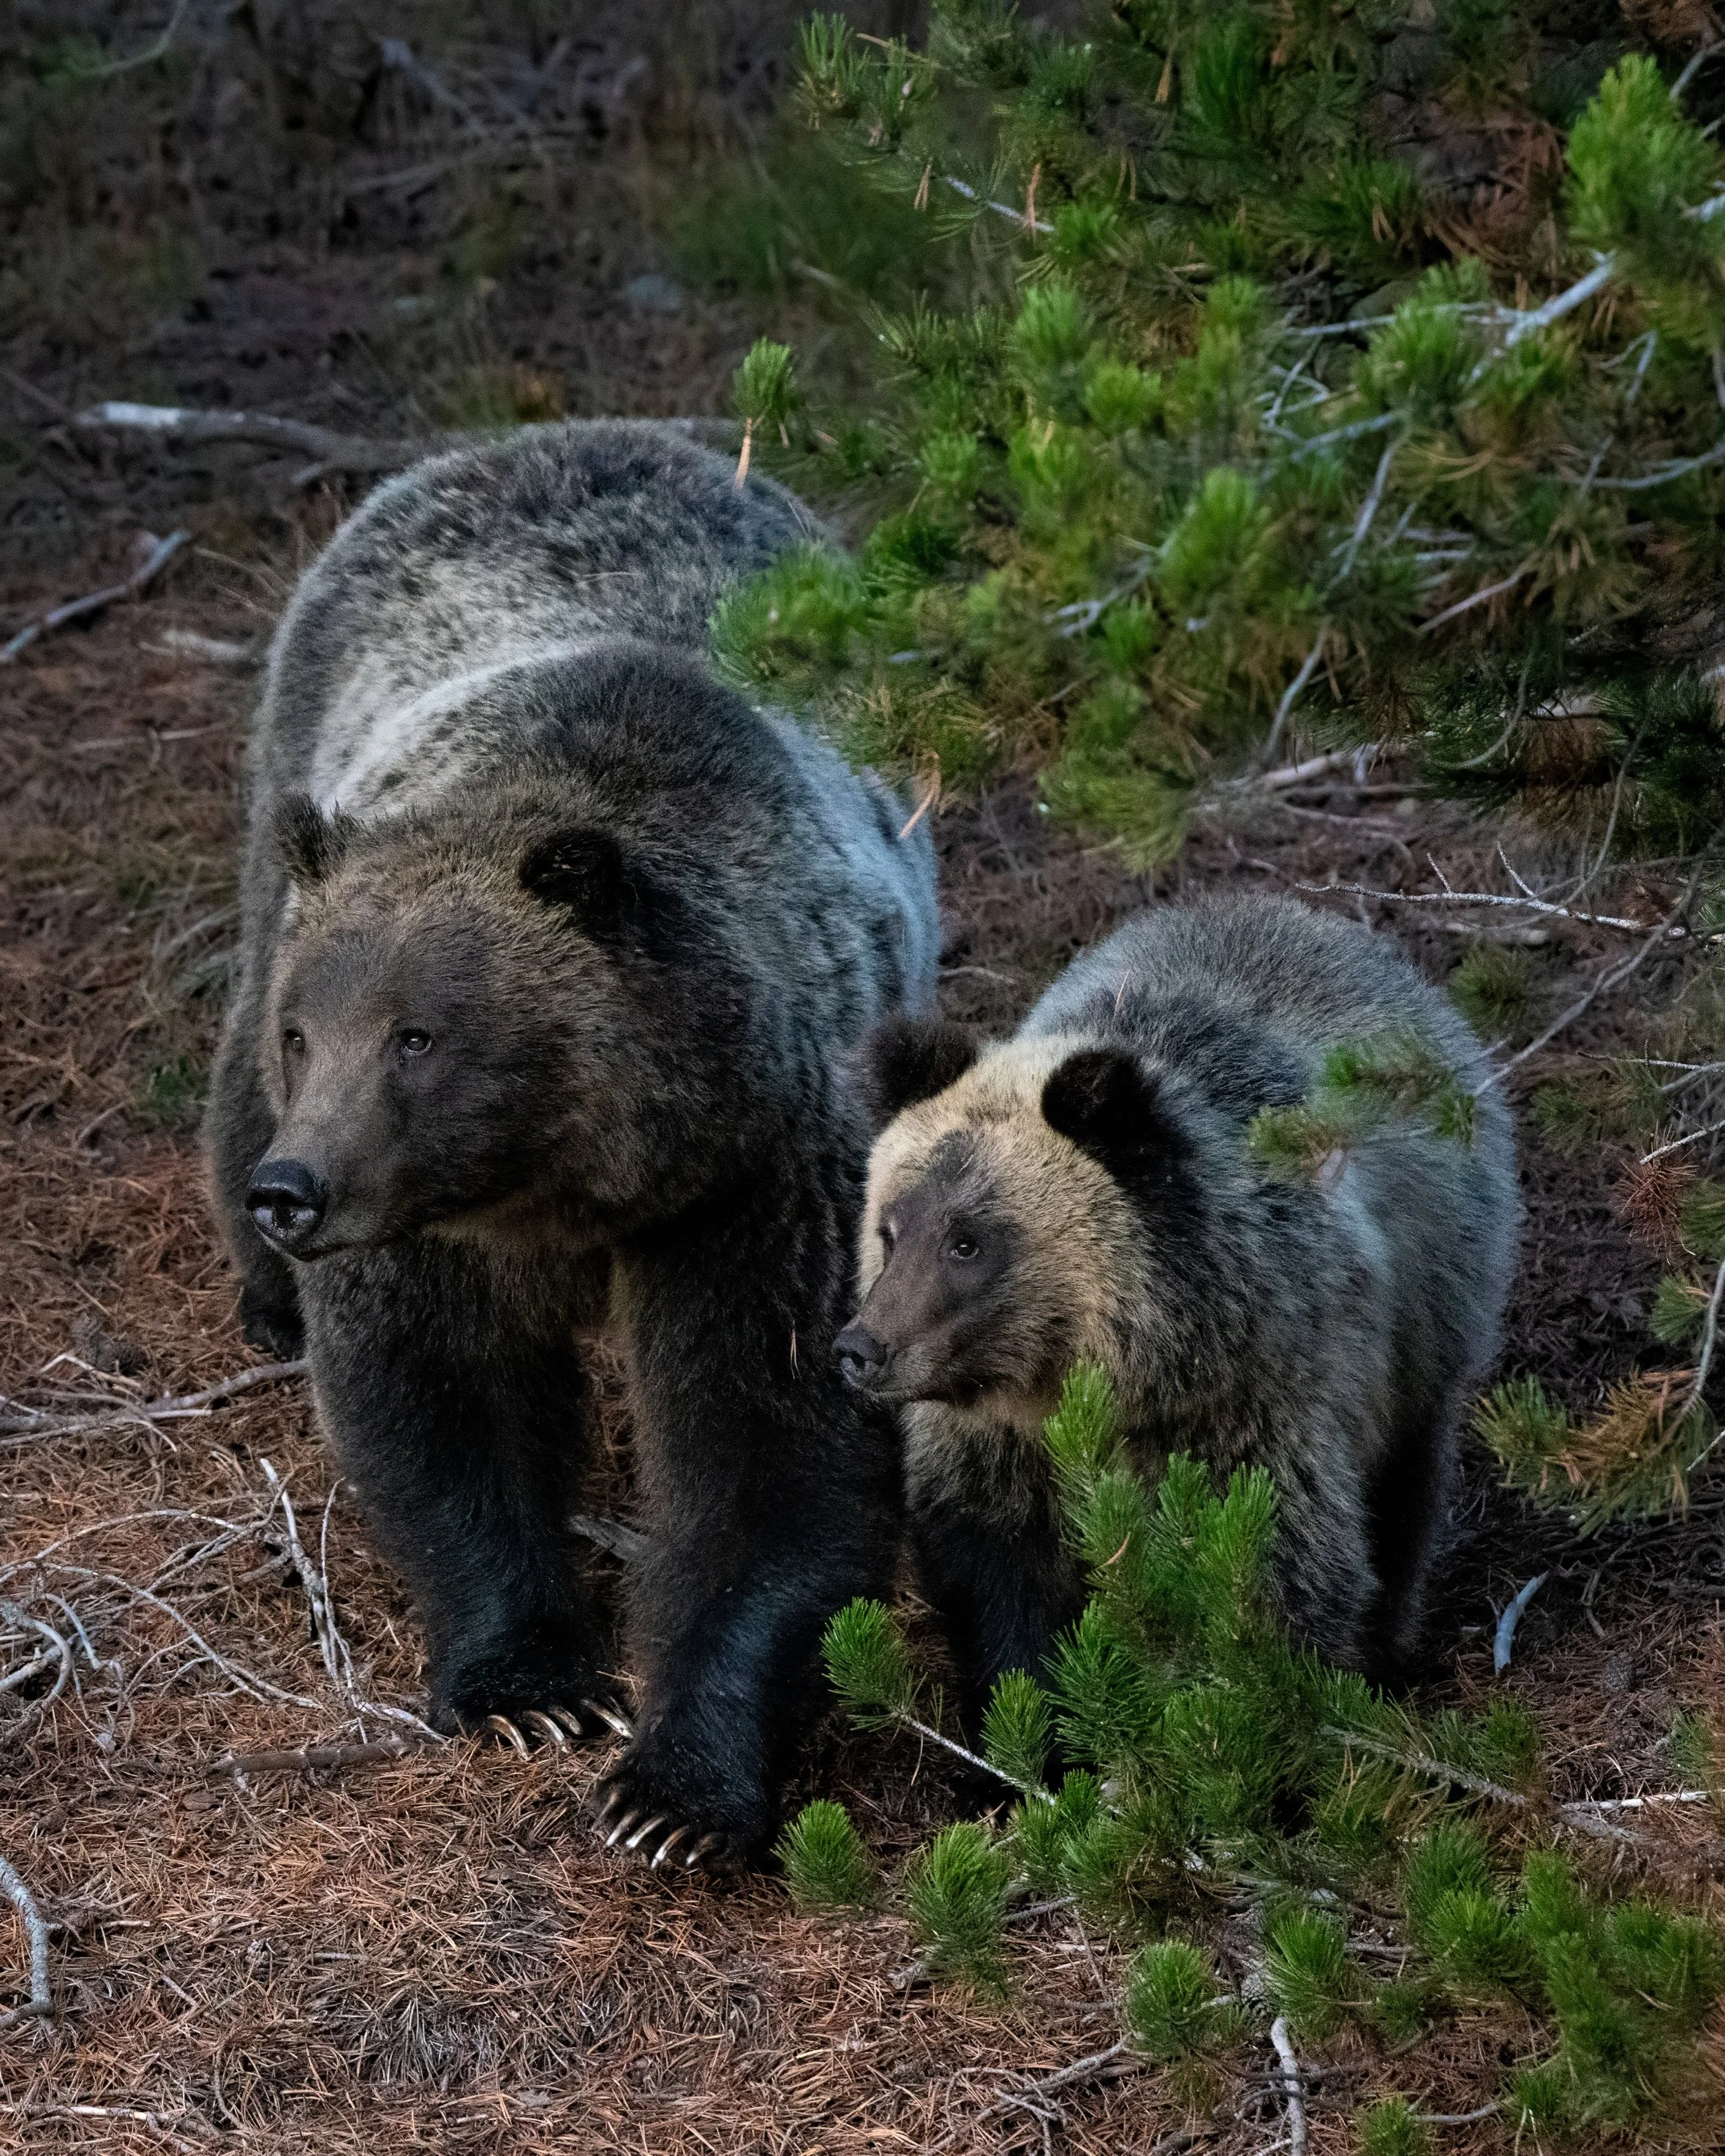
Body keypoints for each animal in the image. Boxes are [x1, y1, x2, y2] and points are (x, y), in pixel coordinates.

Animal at [205, 419, 941, 1870]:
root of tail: (542, 437)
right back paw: (265, 1300)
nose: (294, 1195)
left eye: (418, 1036)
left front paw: (676, 1793)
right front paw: (531, 1686)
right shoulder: (428, 1226)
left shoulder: (768, 1183)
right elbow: (440, 1402)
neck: (572, 1179)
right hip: (295, 784)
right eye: (312, 1034)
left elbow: (770, 1448)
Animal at [832, 892, 1520, 1721]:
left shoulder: (1260, 1402)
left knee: (1405, 1490)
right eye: (890, 1227)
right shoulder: (993, 1449)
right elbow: (1000, 1583)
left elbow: (1278, 1575)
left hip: (1426, 1327)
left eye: (967, 1241)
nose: (862, 1347)